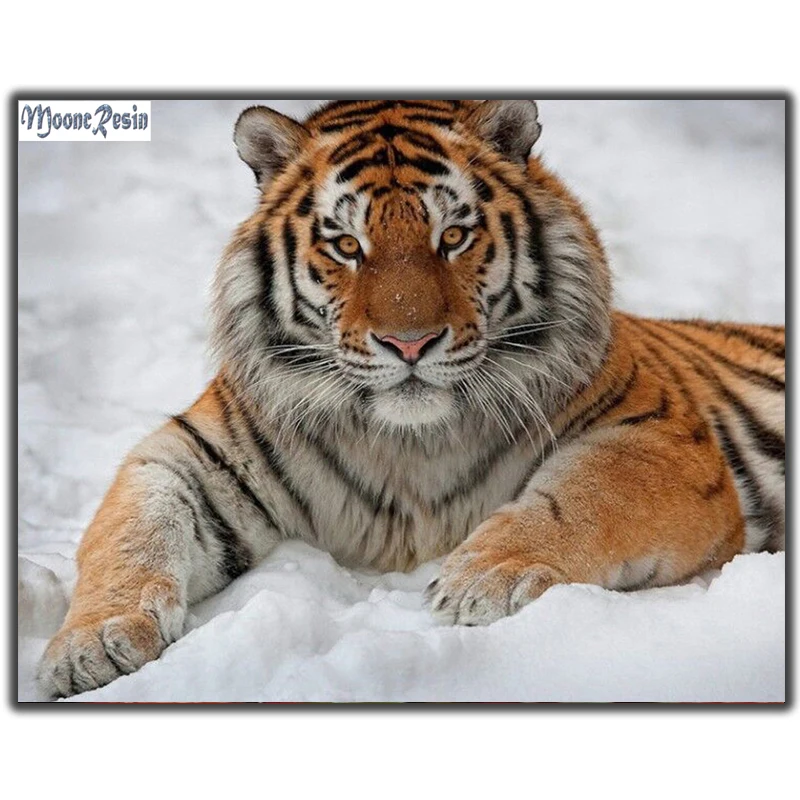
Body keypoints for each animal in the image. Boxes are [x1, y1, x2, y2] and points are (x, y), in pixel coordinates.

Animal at [38, 99, 785, 699]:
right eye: (346, 245)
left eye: (452, 235)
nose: (409, 343)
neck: (409, 443)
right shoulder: (191, 454)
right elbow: (131, 532)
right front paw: (90, 644)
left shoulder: (659, 434)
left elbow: (581, 497)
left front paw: (484, 579)